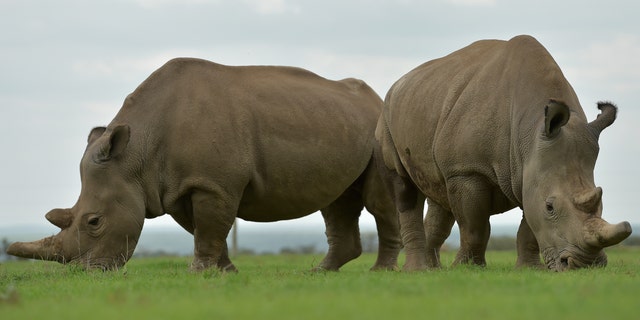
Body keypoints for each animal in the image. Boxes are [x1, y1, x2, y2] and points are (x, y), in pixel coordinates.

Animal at [8, 58, 400, 272]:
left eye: (94, 222)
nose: (84, 273)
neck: (135, 155)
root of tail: (375, 98)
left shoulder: (212, 183)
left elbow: (211, 228)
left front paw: (199, 273)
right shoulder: (177, 186)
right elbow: (206, 230)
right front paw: (225, 272)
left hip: (381, 130)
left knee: (379, 201)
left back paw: (379, 272)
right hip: (336, 121)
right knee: (336, 202)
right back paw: (318, 272)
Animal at [376, 35, 632, 272]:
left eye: (601, 202)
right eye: (550, 207)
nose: (585, 265)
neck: (530, 129)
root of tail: (398, 83)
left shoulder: (530, 171)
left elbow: (528, 228)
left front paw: (529, 269)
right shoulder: (467, 170)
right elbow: (474, 227)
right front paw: (467, 268)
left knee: (438, 194)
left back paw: (433, 270)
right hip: (388, 115)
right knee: (404, 186)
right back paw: (417, 271)